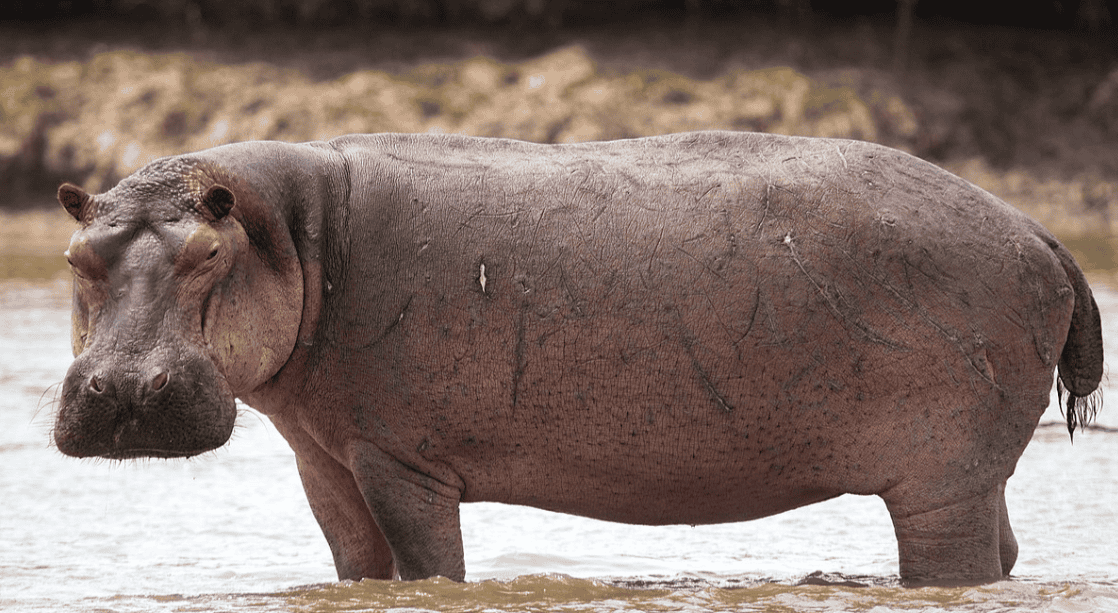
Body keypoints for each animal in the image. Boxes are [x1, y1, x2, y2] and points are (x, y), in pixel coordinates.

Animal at [53, 131, 1102, 586]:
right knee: (1007, 553)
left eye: (206, 253)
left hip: (939, 478)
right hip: (973, 472)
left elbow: (429, 567)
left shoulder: (402, 461)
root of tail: (1041, 232)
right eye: (76, 255)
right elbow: (358, 567)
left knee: (957, 561)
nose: (124, 391)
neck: (296, 235)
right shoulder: (326, 457)